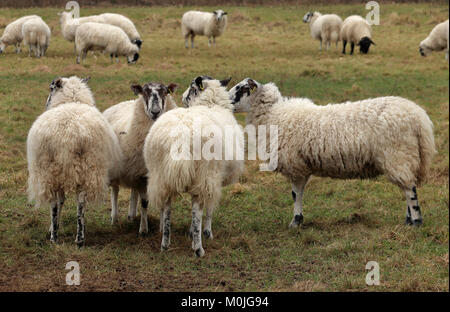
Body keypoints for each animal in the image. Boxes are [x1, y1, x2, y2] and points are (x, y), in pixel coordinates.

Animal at [27, 75, 123, 246]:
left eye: (50, 88)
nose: (46, 104)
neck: (72, 100)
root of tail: (69, 133)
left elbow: (60, 201)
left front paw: (53, 227)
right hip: (86, 168)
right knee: (81, 202)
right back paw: (78, 238)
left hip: (51, 170)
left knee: (56, 202)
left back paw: (56, 237)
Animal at [103, 81, 178, 233]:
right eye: (144, 92)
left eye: (165, 92)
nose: (155, 112)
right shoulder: (143, 175)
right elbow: (144, 202)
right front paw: (143, 230)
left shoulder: (159, 175)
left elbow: (162, 202)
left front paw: (162, 228)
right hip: (115, 167)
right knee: (115, 190)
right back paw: (114, 218)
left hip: (133, 169)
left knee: (133, 191)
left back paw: (131, 215)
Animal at [143, 75, 243, 256]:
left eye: (190, 88)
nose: (182, 96)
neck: (211, 103)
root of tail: (181, 133)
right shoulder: (215, 179)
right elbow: (209, 209)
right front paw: (207, 233)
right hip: (204, 174)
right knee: (197, 211)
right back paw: (198, 248)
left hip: (161, 176)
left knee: (167, 209)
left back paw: (165, 244)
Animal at [230, 77, 434, 229]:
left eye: (241, 89)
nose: (225, 102)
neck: (275, 115)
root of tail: (418, 116)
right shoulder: (303, 166)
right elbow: (300, 193)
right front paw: (299, 220)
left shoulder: (295, 165)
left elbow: (295, 194)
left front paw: (295, 222)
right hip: (405, 158)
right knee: (408, 187)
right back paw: (408, 221)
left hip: (397, 155)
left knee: (410, 190)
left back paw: (416, 222)